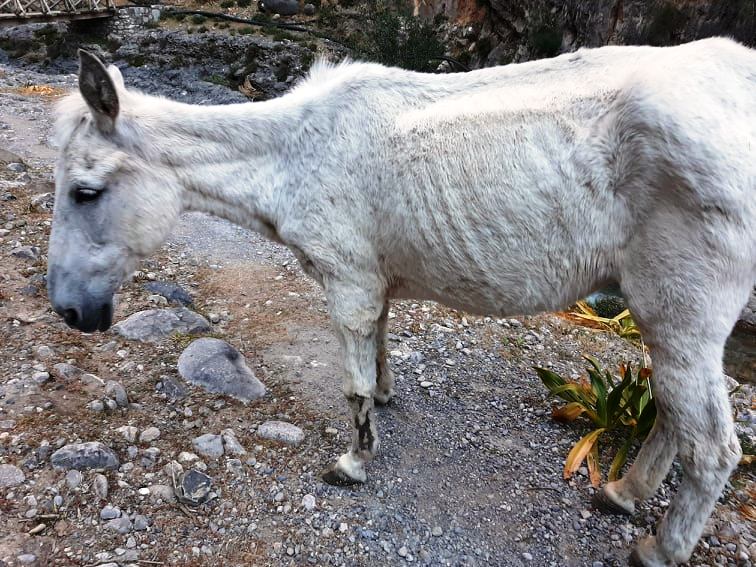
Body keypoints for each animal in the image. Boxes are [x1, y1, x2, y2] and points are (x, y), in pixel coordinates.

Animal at [48, 41, 756, 567]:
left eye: (85, 192)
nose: (69, 313)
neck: (292, 156)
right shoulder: (372, 284)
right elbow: (381, 352)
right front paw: (387, 402)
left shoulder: (347, 283)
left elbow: (354, 386)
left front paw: (354, 463)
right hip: (670, 320)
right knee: (674, 419)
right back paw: (623, 492)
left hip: (680, 314)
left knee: (712, 448)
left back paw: (658, 549)